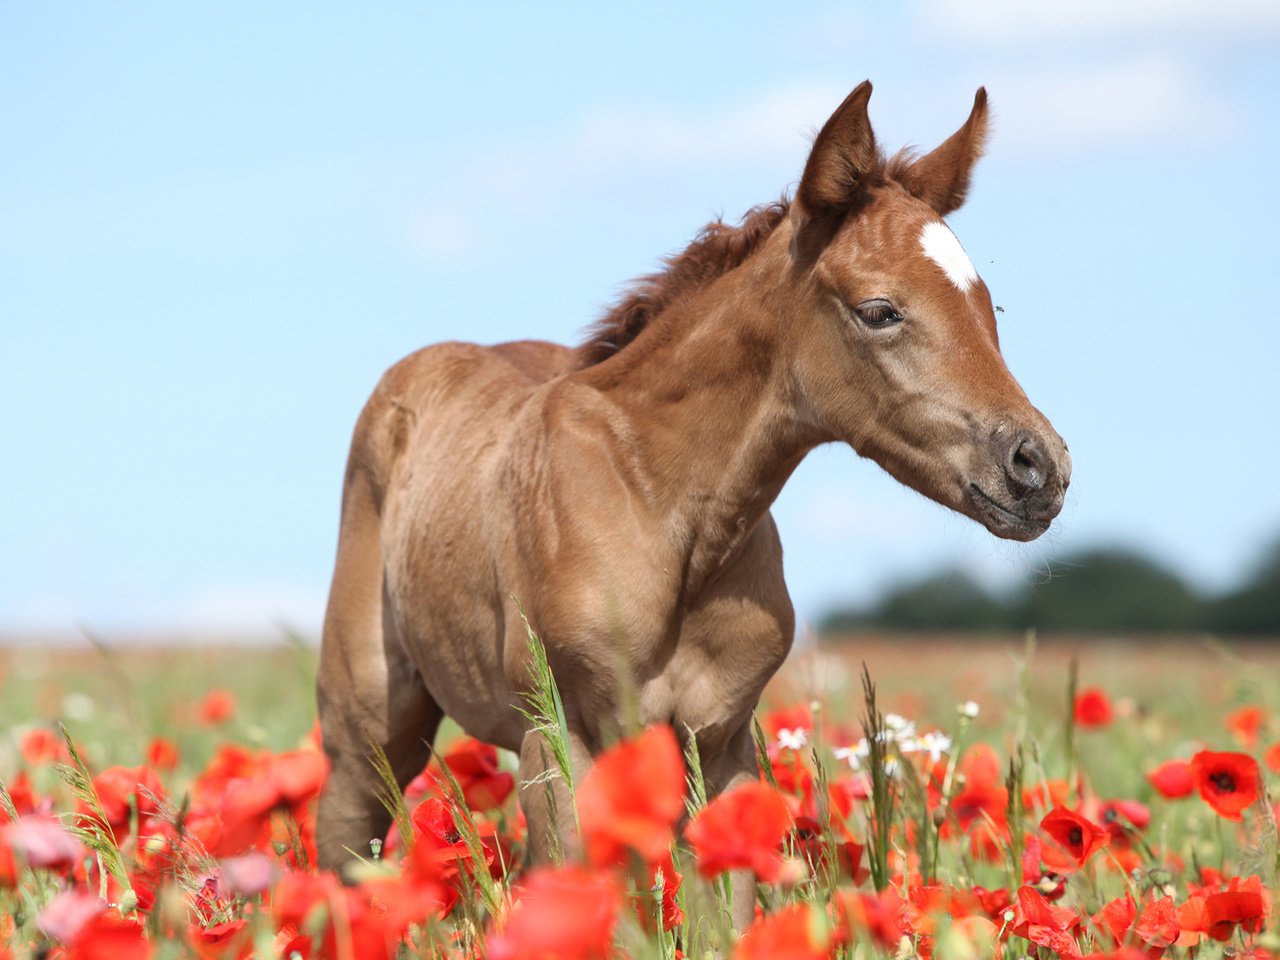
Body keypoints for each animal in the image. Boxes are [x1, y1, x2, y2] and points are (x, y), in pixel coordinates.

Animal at [317, 79, 1070, 921]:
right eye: (879, 310)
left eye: (987, 305)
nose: (1039, 468)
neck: (664, 509)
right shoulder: (564, 736)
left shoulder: (720, 745)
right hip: (369, 732)